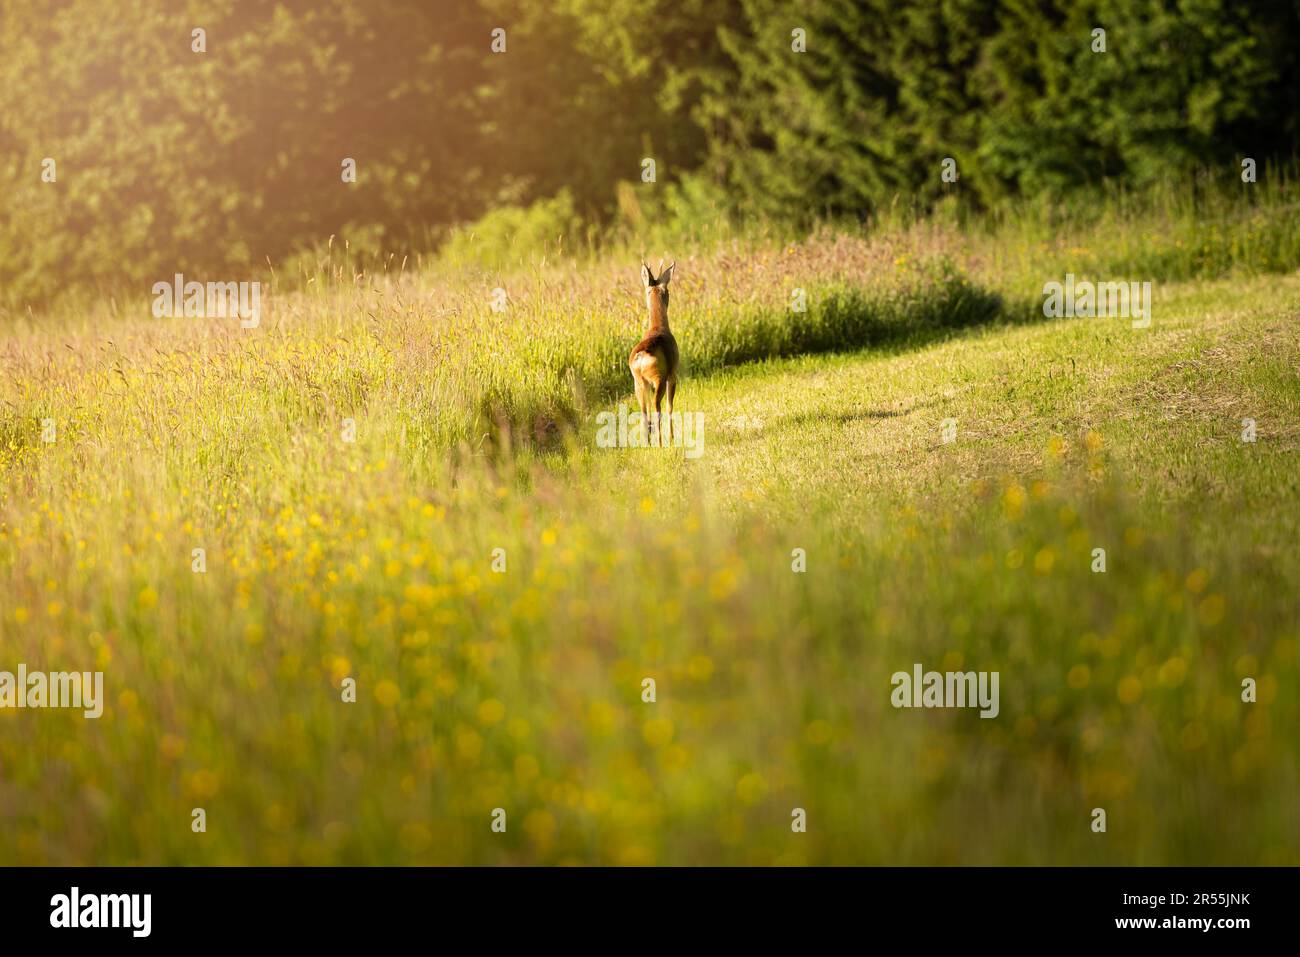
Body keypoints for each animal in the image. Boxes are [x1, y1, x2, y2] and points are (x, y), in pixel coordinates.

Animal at [629, 257, 681, 444]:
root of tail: (641, 357)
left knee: (645, 413)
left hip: (638, 383)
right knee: (658, 407)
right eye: (668, 291)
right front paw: (672, 438)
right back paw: (660, 442)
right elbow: (670, 406)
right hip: (658, 379)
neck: (658, 327)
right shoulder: (672, 374)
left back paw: (648, 443)